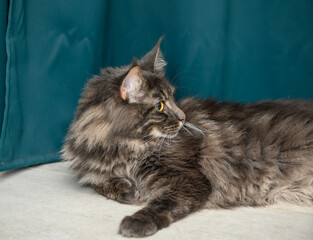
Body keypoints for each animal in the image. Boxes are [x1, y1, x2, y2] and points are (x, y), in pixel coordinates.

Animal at [61, 38, 312, 238]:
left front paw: (137, 220)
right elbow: (99, 182)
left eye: (173, 98)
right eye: (160, 106)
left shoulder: (187, 179)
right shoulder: (94, 169)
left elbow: (161, 203)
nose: (183, 118)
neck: (122, 149)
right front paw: (125, 188)